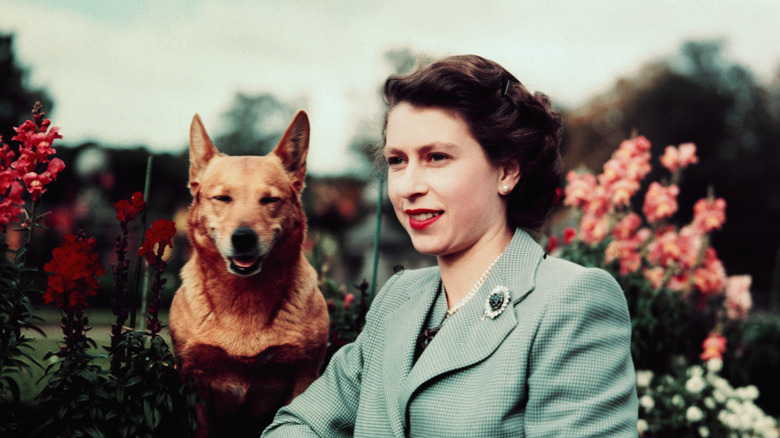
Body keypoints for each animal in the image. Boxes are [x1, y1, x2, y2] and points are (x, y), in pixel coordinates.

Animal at [169, 111, 328, 436]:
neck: (244, 299)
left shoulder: (304, 376)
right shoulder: (194, 381)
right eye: (222, 198)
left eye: (270, 200)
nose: (243, 238)